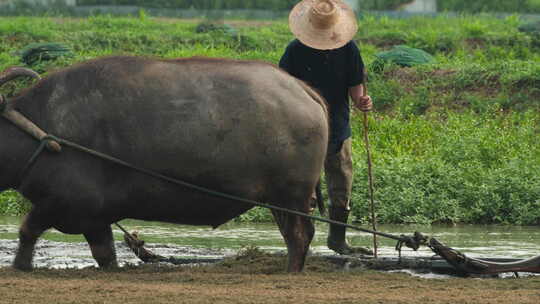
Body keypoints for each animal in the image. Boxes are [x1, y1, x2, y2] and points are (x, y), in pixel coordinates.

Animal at [0, 55, 330, 272]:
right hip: (278, 200)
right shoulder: (95, 219)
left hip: (292, 196)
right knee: (294, 235)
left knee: (300, 235)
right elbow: (105, 255)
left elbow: (27, 230)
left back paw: (291, 271)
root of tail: (302, 88)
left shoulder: (60, 202)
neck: (44, 129)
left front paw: (20, 267)